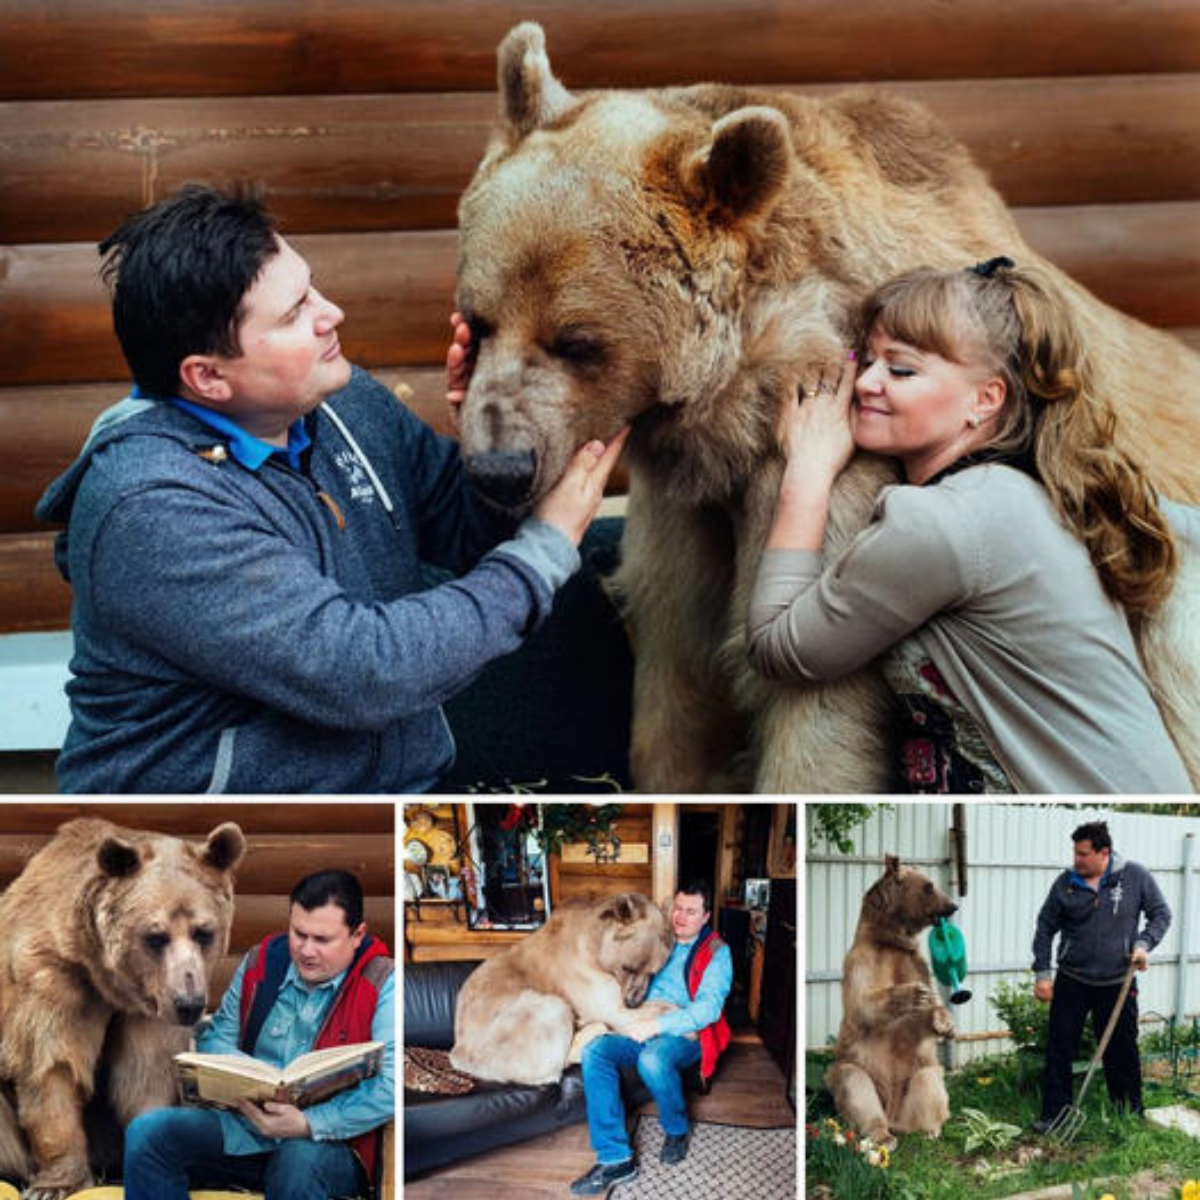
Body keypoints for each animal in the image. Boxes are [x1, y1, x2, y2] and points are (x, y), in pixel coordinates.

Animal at [0, 820, 244, 1195]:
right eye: (156, 936)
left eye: (203, 932)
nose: (190, 1004)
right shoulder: (52, 976)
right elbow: (52, 1064)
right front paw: (54, 1184)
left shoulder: (150, 1009)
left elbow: (144, 1075)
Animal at [451, 23, 1200, 792]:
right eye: (477, 321)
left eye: (577, 341)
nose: (500, 467)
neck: (733, 406)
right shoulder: (685, 506)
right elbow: (678, 660)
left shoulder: (841, 468)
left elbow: (812, 687)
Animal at [830, 859, 960, 1147]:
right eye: (929, 886)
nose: (952, 906)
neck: (891, 940)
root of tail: (895, 1116)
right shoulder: (862, 960)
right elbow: (860, 1002)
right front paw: (911, 994)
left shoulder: (916, 963)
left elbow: (923, 1015)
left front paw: (944, 1021)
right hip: (859, 1071)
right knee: (854, 1083)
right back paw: (882, 1135)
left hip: (914, 1078)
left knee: (929, 1081)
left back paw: (930, 1130)